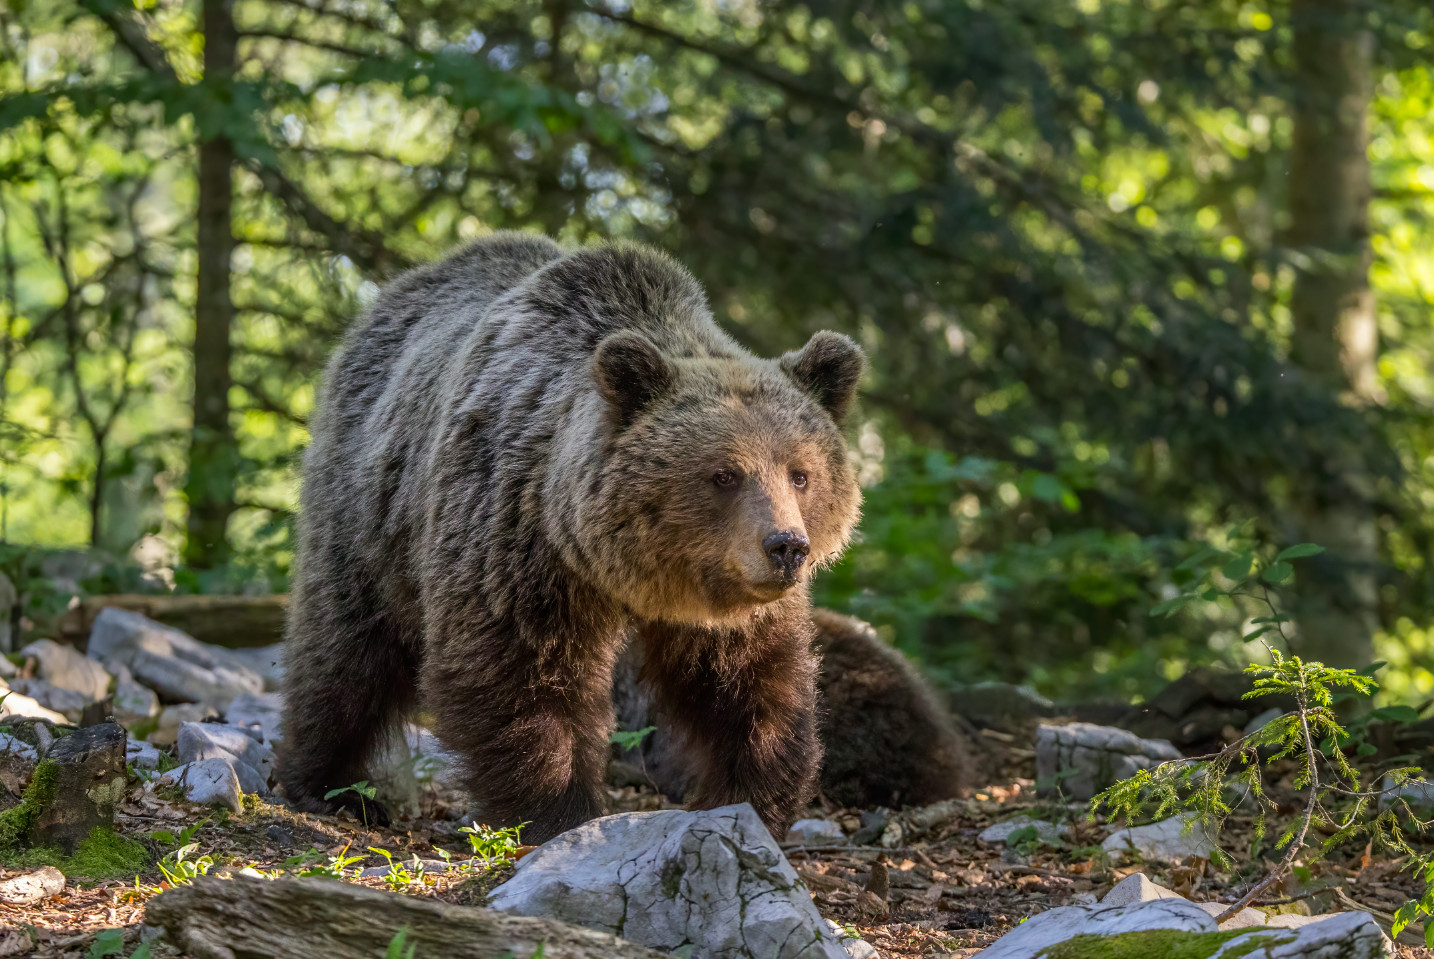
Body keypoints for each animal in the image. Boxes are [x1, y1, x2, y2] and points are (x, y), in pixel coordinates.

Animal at [279, 232, 860, 837]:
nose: (786, 547)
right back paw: (330, 785)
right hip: (369, 508)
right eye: (724, 474)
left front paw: (751, 797)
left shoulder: (728, 598)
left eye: (801, 473)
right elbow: (519, 670)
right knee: (346, 649)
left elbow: (750, 682)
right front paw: (557, 810)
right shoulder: (515, 537)